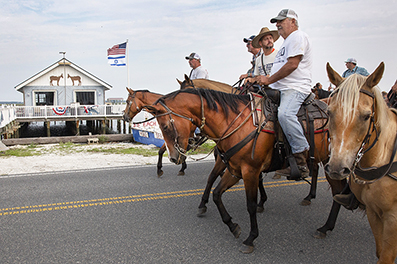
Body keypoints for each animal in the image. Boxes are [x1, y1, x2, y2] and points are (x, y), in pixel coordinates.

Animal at [143, 87, 334, 253]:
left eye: (165, 127)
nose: (173, 157)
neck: (237, 124)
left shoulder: (250, 171)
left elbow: (250, 203)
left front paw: (251, 237)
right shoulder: (234, 169)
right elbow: (216, 192)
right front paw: (232, 225)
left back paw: (323, 224)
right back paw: (318, 214)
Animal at [324, 60, 396, 262]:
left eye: (366, 116)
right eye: (329, 112)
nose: (337, 168)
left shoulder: (392, 220)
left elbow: (386, 258)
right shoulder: (373, 212)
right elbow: (379, 252)